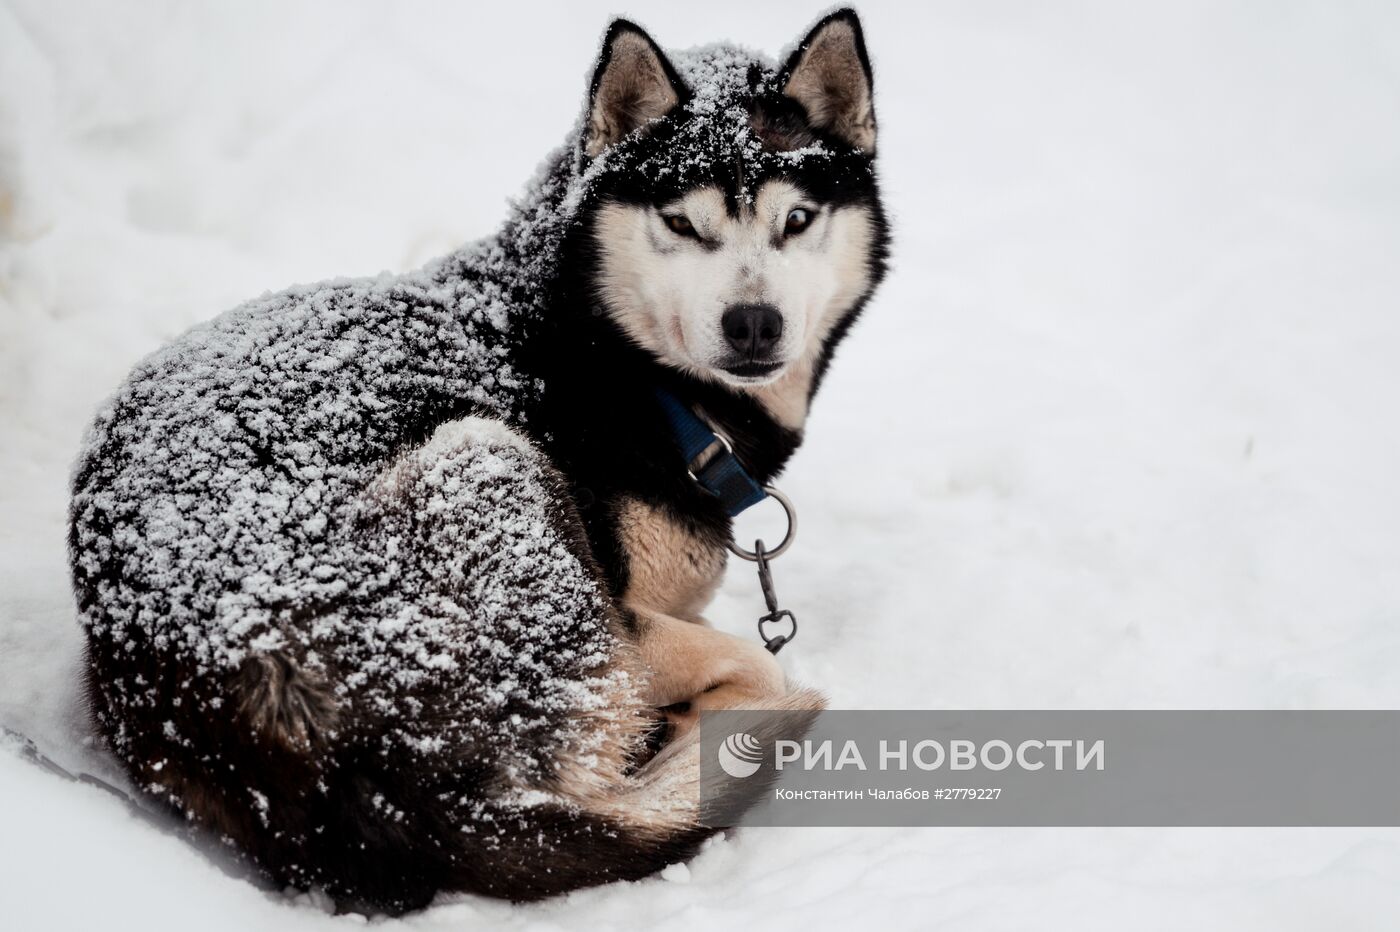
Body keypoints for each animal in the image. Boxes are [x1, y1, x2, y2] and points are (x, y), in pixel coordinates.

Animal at [68, 7, 884, 906]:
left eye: (797, 220)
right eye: (680, 223)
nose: (753, 323)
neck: (607, 357)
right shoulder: (631, 616)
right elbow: (752, 666)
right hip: (485, 458)